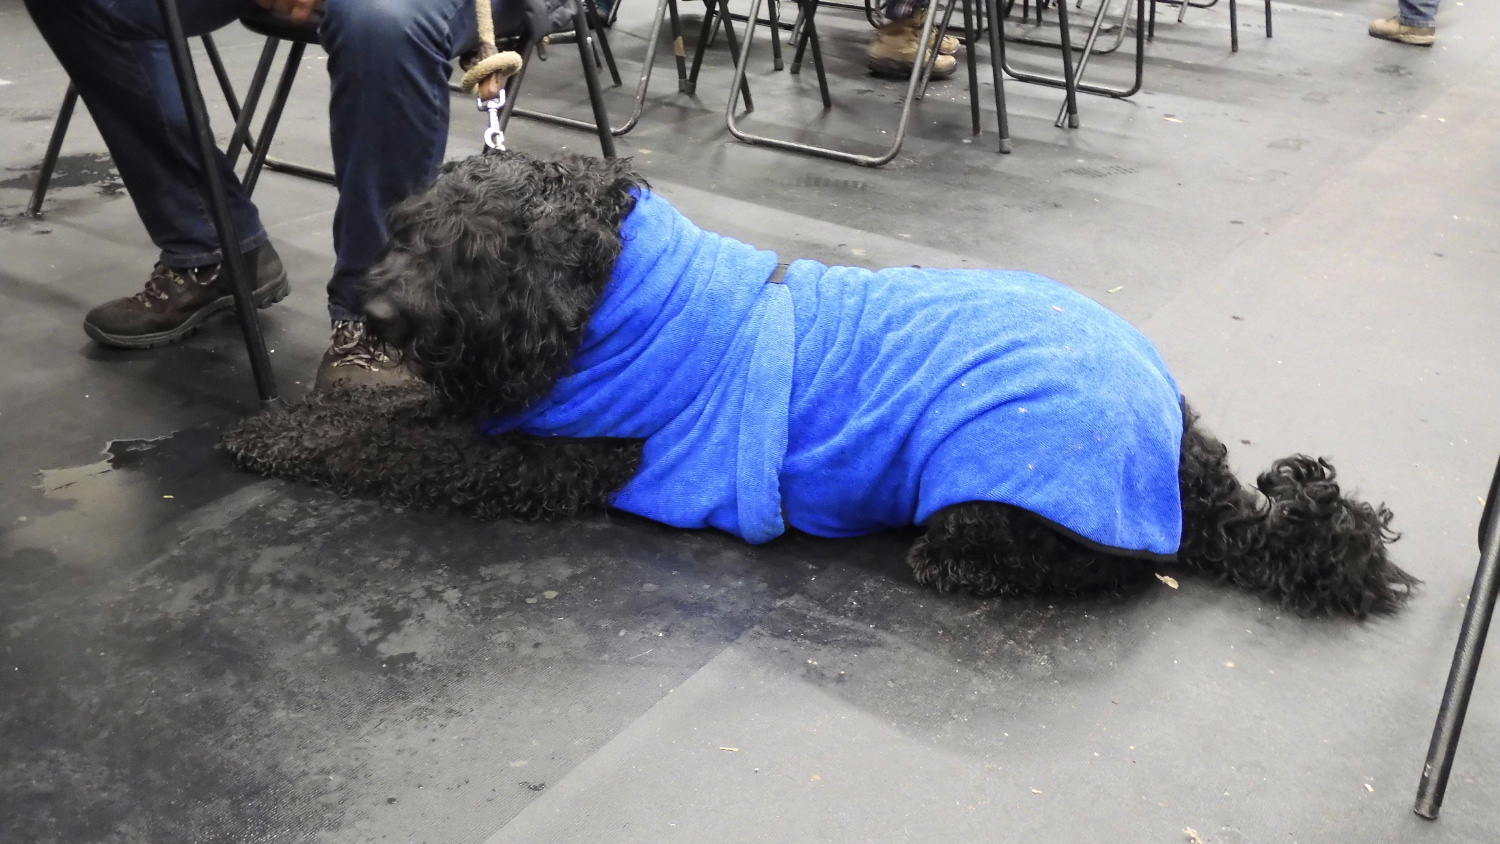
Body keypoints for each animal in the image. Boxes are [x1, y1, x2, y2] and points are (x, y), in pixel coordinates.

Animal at [224, 151, 1418, 618]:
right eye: (414, 225)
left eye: (474, 249)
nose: (376, 314)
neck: (607, 296)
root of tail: (1183, 443)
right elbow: (388, 412)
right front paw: (319, 399)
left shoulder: (536, 462)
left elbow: (389, 444)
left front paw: (275, 435)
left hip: (1006, 489)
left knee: (1109, 565)